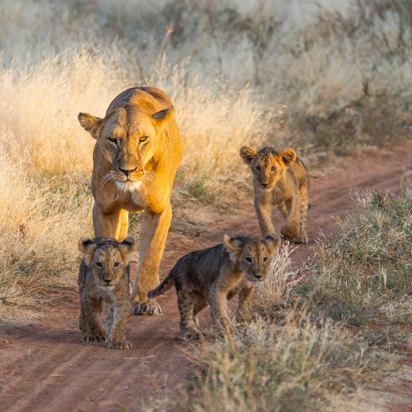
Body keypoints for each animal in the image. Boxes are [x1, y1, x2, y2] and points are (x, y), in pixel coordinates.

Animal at [78, 87, 183, 316]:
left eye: (142, 139)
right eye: (112, 139)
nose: (127, 171)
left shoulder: (159, 210)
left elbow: (151, 256)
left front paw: (145, 302)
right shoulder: (105, 209)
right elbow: (106, 248)